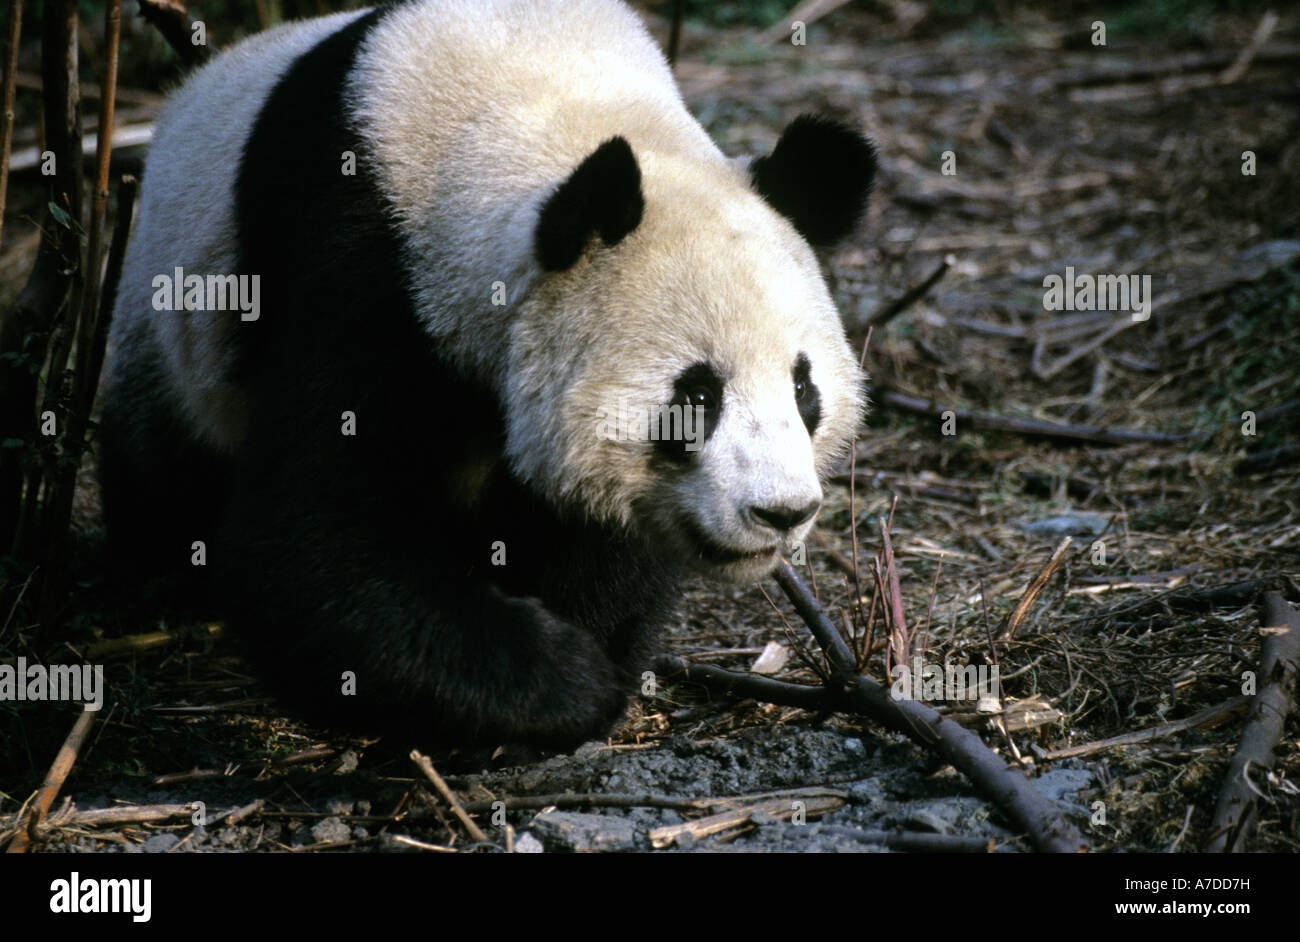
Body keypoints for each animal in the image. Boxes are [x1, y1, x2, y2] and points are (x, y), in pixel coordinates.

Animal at [100, 0, 875, 748]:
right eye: (698, 394)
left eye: (804, 389)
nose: (782, 512)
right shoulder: (360, 266)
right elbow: (307, 540)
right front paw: (559, 679)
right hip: (166, 328)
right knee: (162, 471)